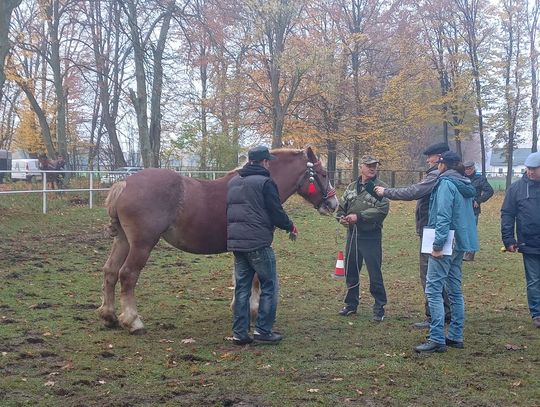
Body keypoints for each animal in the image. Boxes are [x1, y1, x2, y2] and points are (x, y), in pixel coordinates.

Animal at [98, 147, 338, 334]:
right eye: (323, 174)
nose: (333, 204)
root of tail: (124, 184)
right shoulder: (257, 245)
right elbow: (255, 279)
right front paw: (253, 311)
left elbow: (240, 278)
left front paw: (240, 307)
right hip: (142, 244)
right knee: (127, 275)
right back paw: (133, 321)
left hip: (123, 240)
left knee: (110, 271)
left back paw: (109, 316)